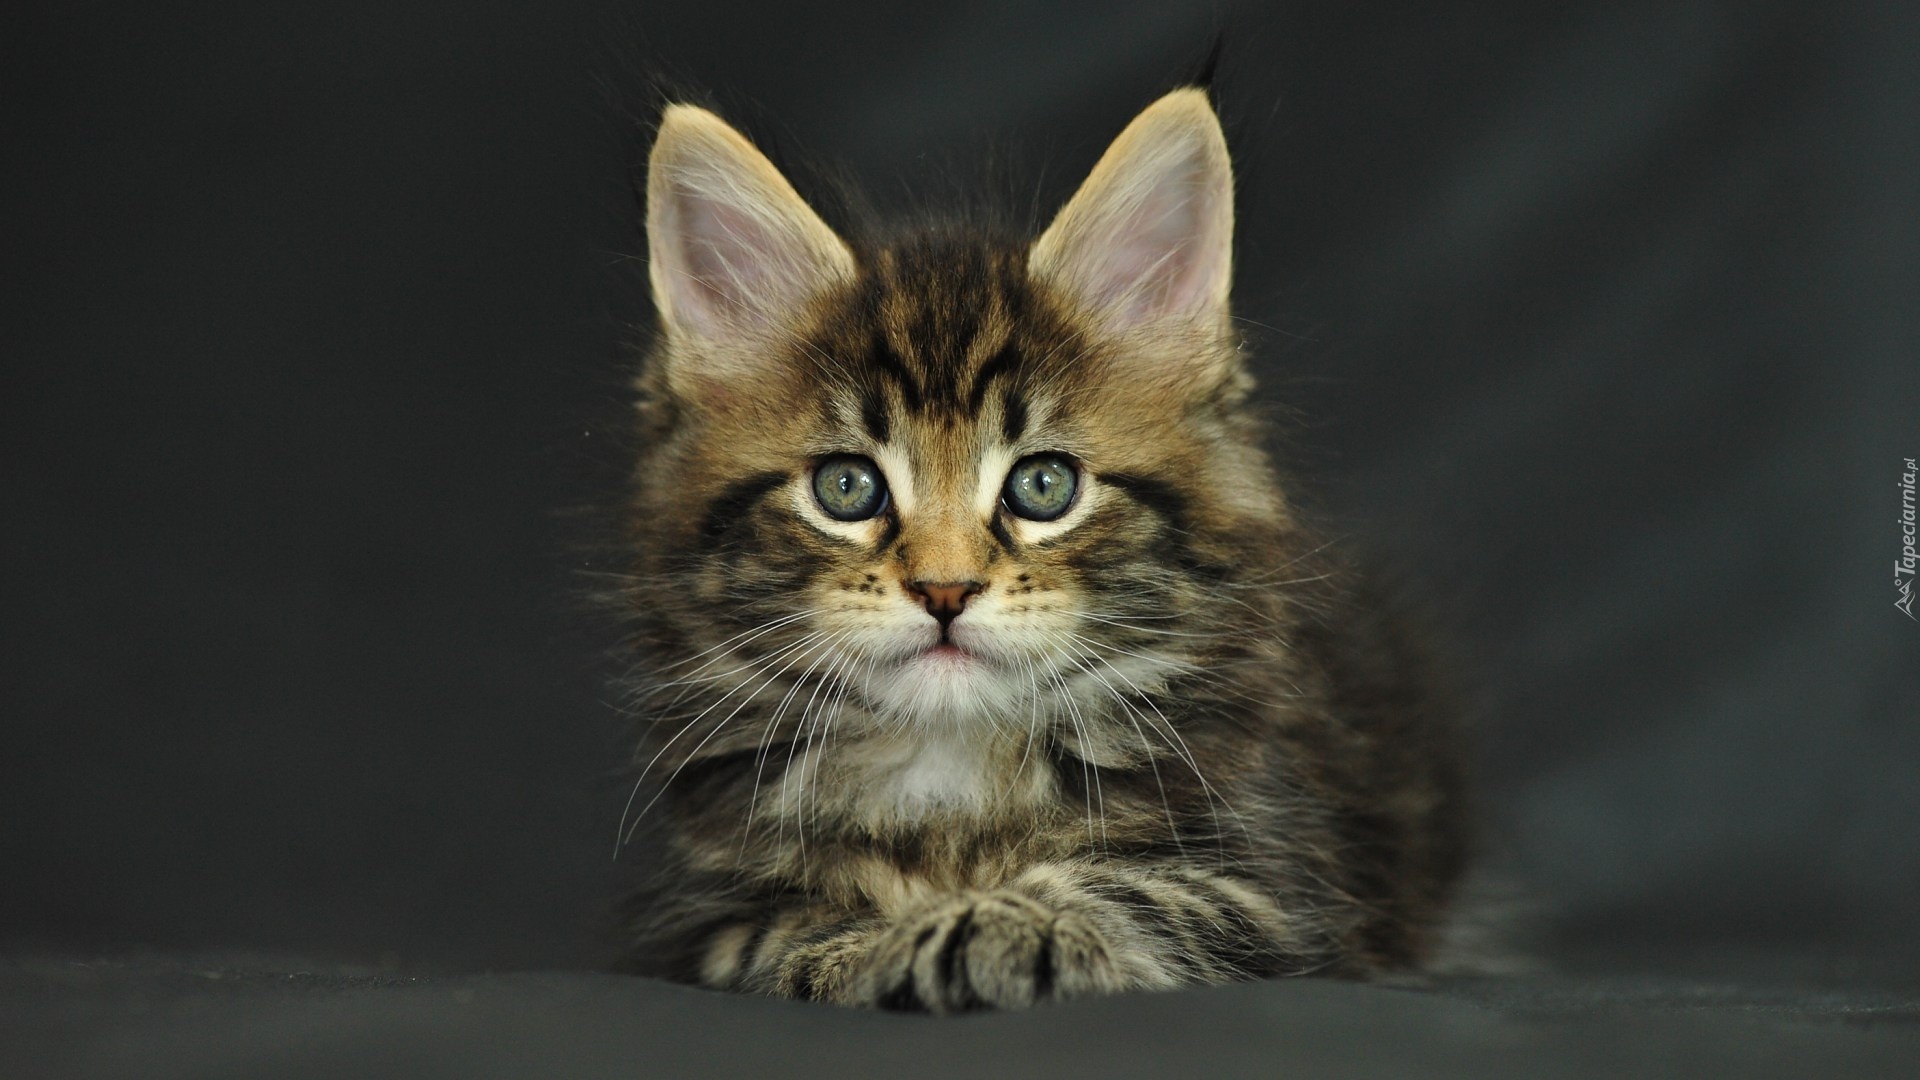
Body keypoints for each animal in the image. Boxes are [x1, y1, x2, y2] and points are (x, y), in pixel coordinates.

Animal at [618, 85, 1466, 1006]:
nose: (944, 590)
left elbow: (1135, 892)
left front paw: (998, 923)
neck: (951, 780)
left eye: (1044, 486)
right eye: (847, 488)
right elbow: (783, 937)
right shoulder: (709, 920)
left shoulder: (1275, 884)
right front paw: (875, 943)